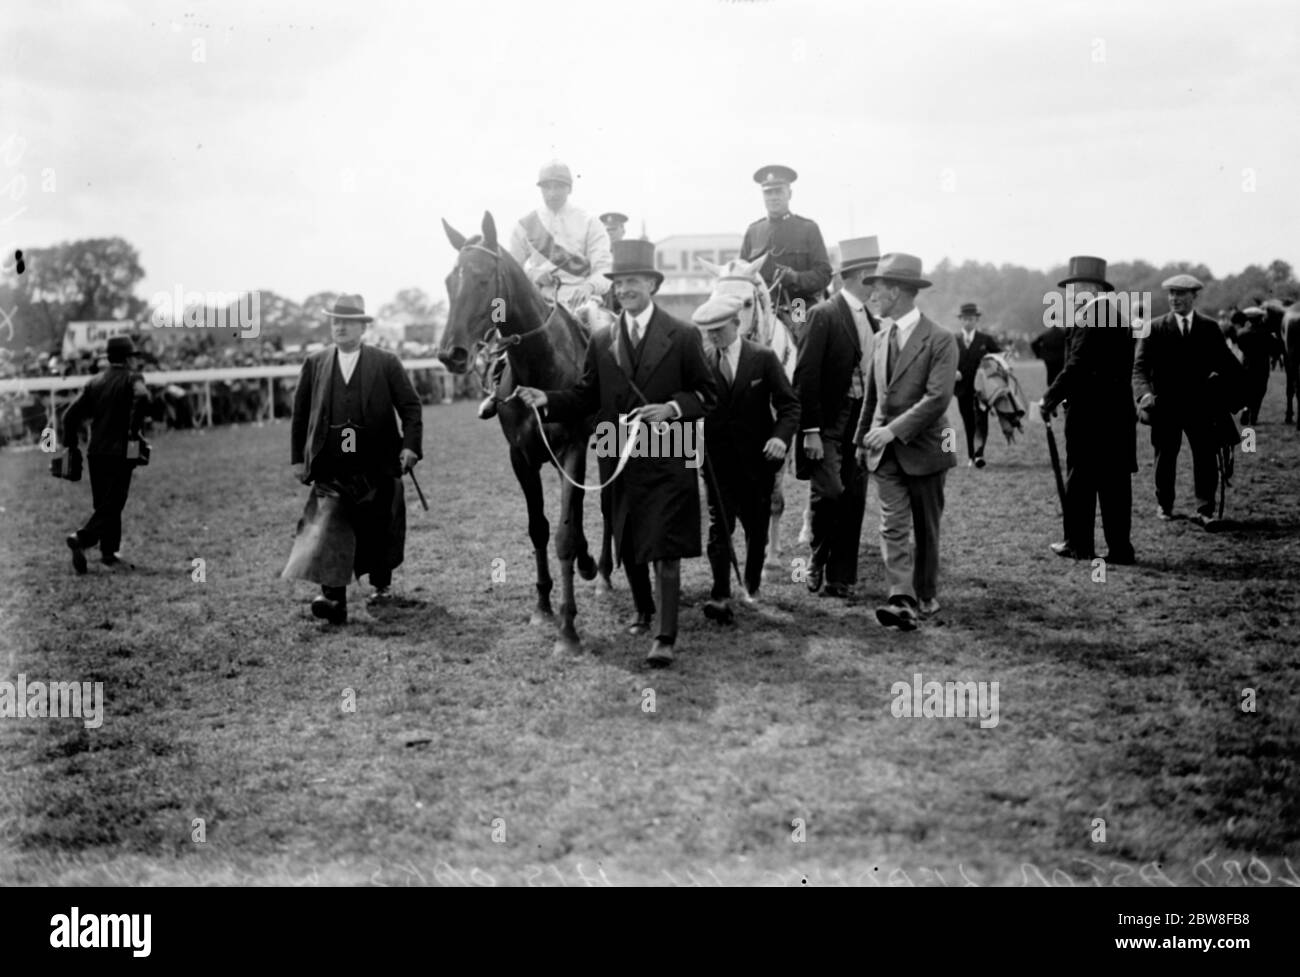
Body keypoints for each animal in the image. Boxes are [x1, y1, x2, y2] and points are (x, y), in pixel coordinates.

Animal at [434, 210, 600, 652]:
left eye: (481, 279)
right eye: (449, 281)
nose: (450, 354)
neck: (541, 367)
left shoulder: (573, 449)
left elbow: (563, 535)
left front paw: (568, 630)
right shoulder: (522, 457)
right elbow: (539, 529)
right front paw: (543, 608)